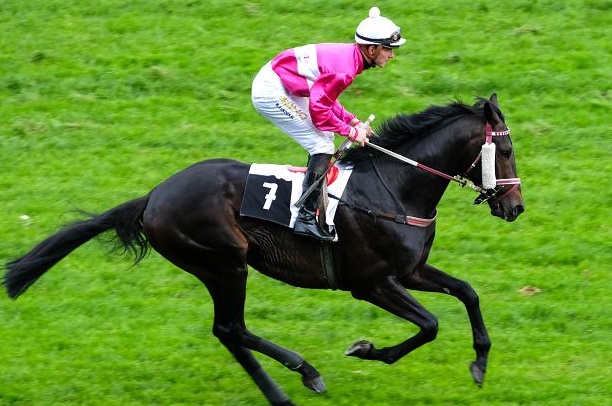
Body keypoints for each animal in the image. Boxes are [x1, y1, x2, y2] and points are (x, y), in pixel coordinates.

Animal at [3, 93, 520, 404]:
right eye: (507, 150)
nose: (515, 207)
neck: (392, 189)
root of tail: (153, 196)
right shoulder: (371, 282)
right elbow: (429, 325)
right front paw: (366, 349)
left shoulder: (411, 271)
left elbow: (468, 292)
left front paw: (479, 362)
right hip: (224, 262)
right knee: (231, 328)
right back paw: (302, 375)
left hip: (220, 265)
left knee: (230, 331)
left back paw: (287, 385)